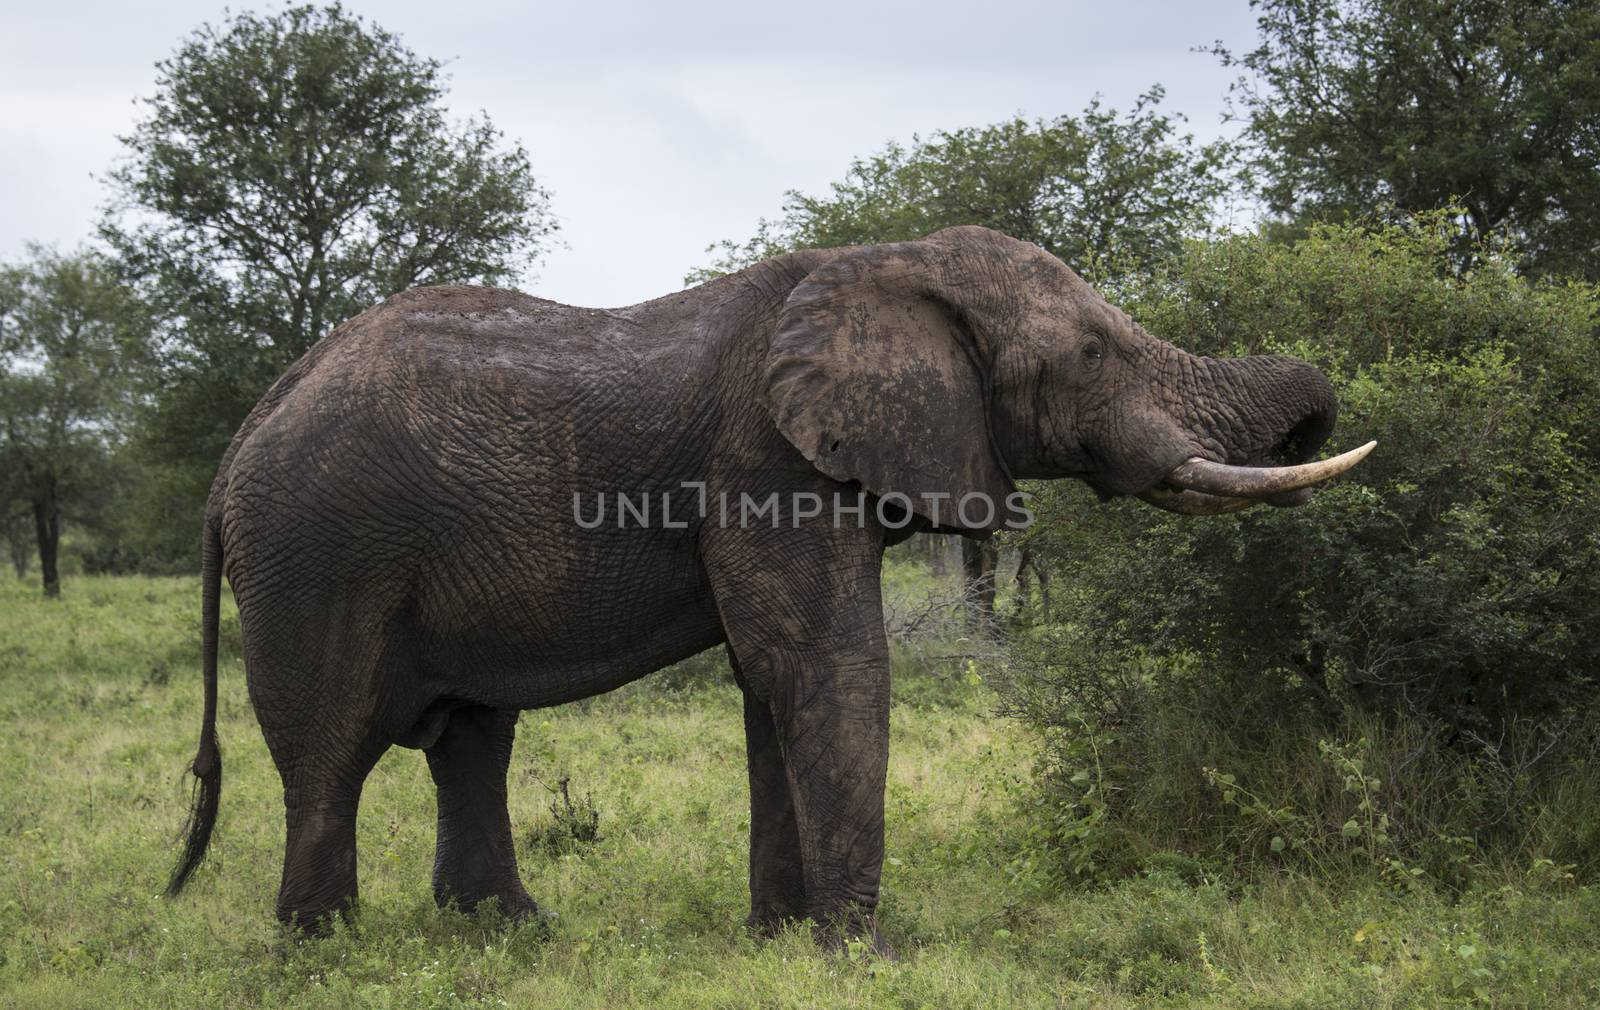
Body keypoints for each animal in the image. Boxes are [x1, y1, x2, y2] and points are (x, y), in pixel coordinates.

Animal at [162, 225, 1369, 947]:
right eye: (1089, 355)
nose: (1323, 414)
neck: (890, 260)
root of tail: (233, 450)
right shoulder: (766, 463)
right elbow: (824, 665)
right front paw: (860, 953)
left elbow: (770, 681)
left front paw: (783, 942)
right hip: (319, 555)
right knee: (332, 752)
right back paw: (325, 951)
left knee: (468, 736)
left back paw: (514, 935)